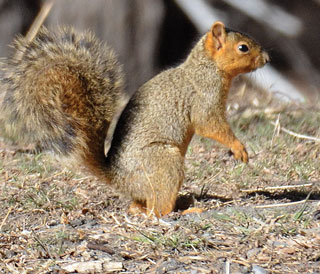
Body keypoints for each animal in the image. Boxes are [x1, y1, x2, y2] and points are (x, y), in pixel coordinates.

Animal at [1, 22, 268, 216]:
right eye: (243, 48)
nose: (267, 59)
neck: (207, 67)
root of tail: (118, 179)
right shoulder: (203, 99)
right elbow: (210, 125)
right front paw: (239, 147)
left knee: (141, 206)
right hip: (164, 162)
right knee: (158, 211)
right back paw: (186, 211)